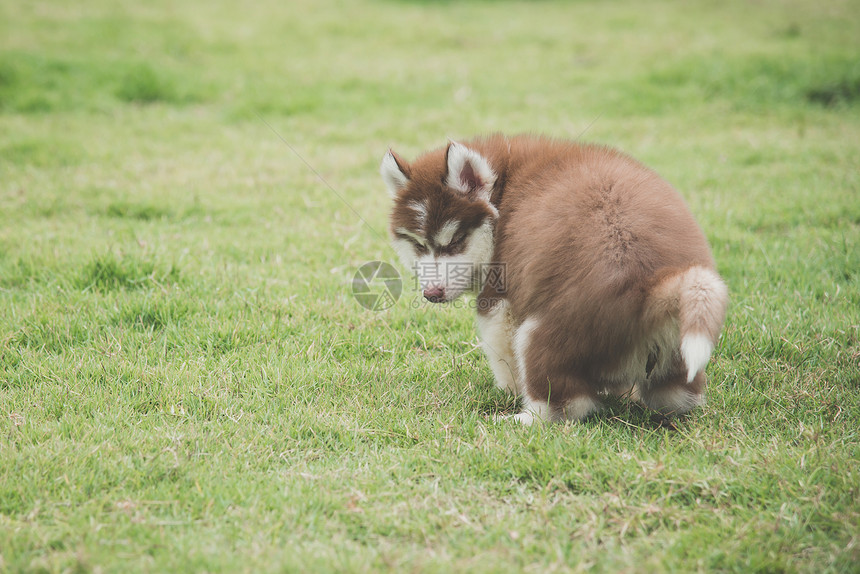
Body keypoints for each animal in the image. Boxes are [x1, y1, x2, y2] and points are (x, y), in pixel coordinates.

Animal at [382, 134, 724, 424]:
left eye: (454, 242)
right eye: (419, 245)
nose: (432, 294)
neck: (504, 187)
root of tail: (651, 285)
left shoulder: (500, 299)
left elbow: (500, 348)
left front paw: (508, 390)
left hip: (542, 333)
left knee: (568, 404)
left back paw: (519, 418)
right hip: (675, 351)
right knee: (677, 396)